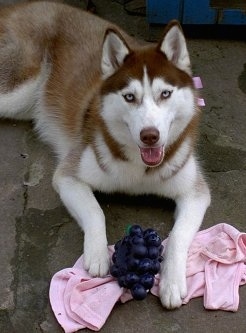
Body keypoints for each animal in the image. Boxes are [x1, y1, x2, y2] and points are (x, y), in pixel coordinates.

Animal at [0, 1, 210, 308]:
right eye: (129, 97)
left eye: (165, 94)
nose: (150, 135)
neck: (139, 170)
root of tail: (25, 5)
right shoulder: (70, 175)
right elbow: (94, 211)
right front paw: (97, 254)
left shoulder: (195, 193)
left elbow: (179, 235)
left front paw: (172, 282)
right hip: (17, 87)